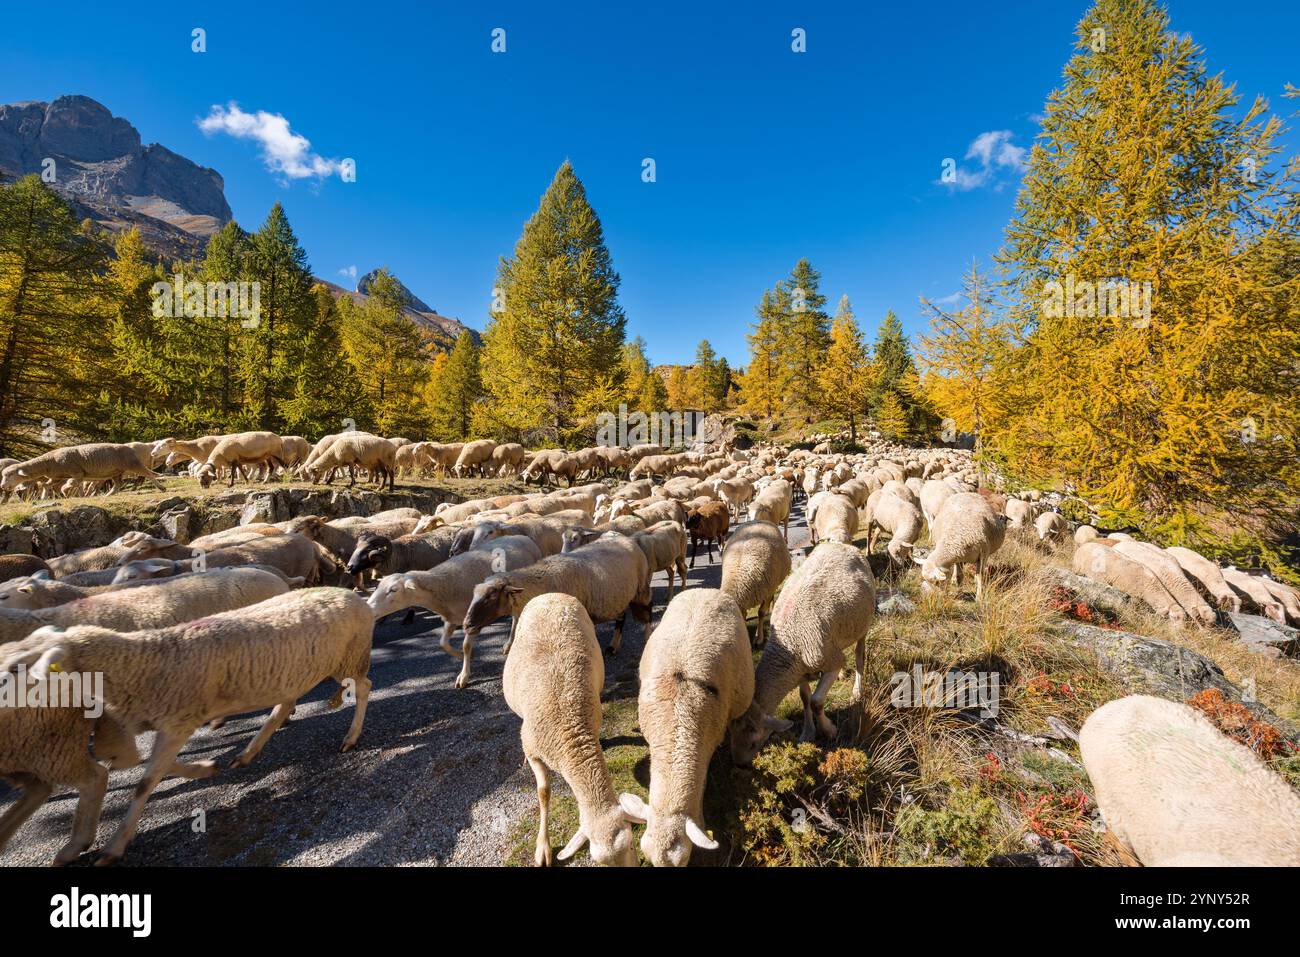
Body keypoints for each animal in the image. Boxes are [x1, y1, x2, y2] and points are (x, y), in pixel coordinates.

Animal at [366, 538, 543, 688]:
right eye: (379, 586)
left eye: (393, 590)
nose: (369, 609)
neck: (444, 585)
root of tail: (524, 537)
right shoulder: (451, 619)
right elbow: (443, 644)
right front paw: (466, 656)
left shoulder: (473, 620)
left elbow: (466, 645)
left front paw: (463, 676)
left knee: (516, 618)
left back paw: (509, 643)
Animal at [464, 534, 653, 663]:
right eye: (474, 594)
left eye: (491, 596)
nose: (467, 625)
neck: (542, 581)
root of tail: (626, 538)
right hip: (618, 595)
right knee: (622, 616)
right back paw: (613, 646)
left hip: (641, 588)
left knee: (648, 609)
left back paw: (647, 637)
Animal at [502, 593, 636, 867]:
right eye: (599, 862)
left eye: (631, 844)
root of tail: (551, 595)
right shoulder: (535, 749)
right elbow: (543, 792)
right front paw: (543, 847)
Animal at [731, 542, 877, 763]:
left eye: (754, 742)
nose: (740, 764)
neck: (789, 644)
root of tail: (842, 544)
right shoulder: (799, 670)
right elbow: (805, 698)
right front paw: (808, 732)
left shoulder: (829, 661)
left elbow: (816, 702)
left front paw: (829, 730)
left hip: (863, 625)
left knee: (860, 657)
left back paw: (857, 692)